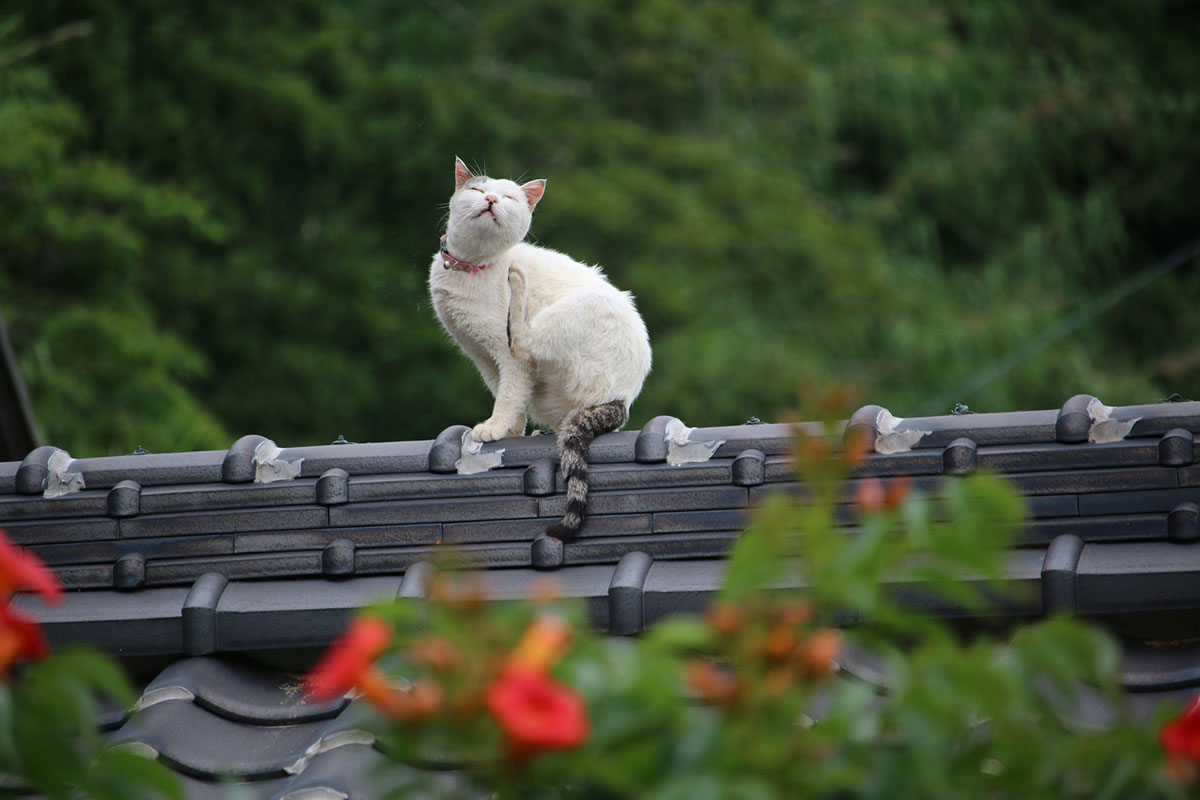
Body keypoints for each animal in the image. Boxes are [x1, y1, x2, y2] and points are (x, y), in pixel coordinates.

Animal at [432, 158, 652, 537]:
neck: (473, 267)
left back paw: (518, 281)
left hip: (571, 313)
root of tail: (621, 400)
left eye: (508, 197)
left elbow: (509, 394)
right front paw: (512, 431)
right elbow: (507, 395)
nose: (490, 199)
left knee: (522, 337)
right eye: (478, 189)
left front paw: (493, 427)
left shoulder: (508, 359)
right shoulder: (481, 356)